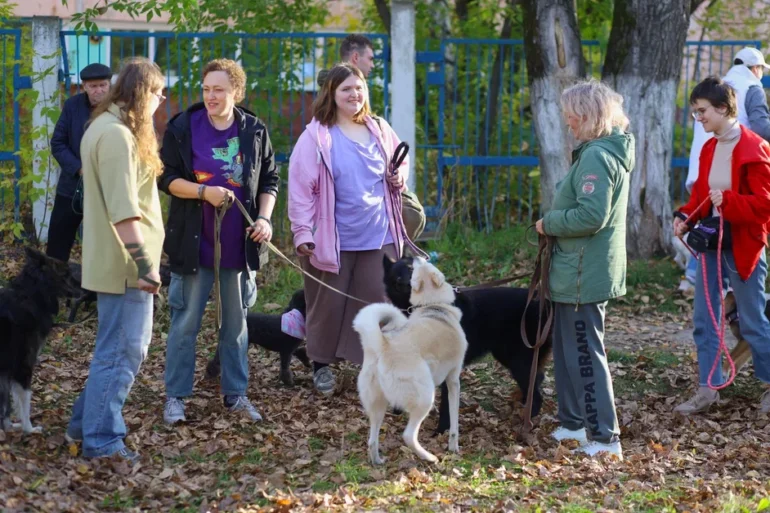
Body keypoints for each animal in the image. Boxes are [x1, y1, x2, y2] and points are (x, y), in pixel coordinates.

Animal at [0, 247, 79, 432]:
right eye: (66, 273)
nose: (84, 291)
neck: (29, 295)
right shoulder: (22, 366)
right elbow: (24, 401)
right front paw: (29, 429)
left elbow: (6, 405)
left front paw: (9, 427)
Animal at [352, 258, 464, 462]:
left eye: (416, 268)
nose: (418, 257)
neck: (433, 305)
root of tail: (384, 345)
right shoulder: (453, 380)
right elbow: (454, 422)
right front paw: (453, 447)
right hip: (425, 398)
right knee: (408, 435)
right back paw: (429, 457)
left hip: (377, 406)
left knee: (372, 440)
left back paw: (377, 461)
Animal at [380, 254, 548, 434]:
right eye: (398, 275)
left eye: (412, 269)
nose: (406, 283)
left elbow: (446, 404)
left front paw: (442, 430)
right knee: (537, 378)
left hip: (518, 362)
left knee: (536, 394)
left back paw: (526, 421)